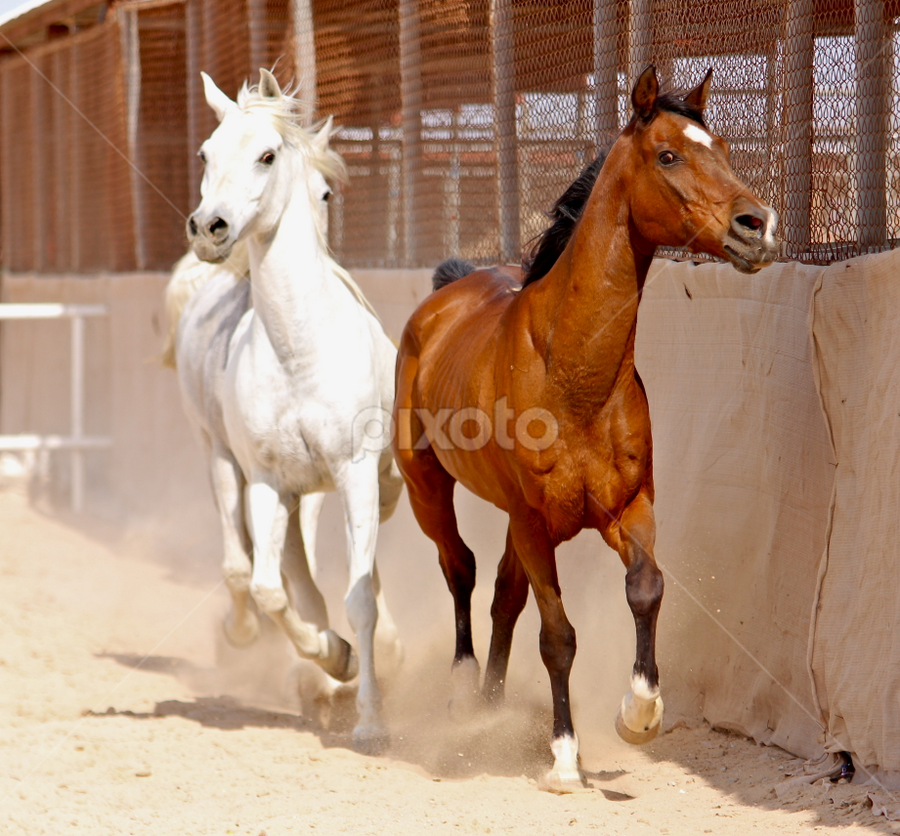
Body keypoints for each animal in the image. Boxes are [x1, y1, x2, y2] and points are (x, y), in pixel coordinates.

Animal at [183, 68, 404, 753]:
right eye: (206, 153)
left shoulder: (357, 477)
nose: (209, 228)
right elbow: (270, 591)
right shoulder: (267, 483)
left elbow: (359, 600)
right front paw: (337, 658)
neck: (300, 355)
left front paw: (370, 722)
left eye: (267, 155)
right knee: (289, 579)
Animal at [392, 66, 779, 791]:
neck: (571, 374)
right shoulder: (535, 523)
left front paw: (640, 715)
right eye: (668, 155)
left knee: (502, 597)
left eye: (722, 148)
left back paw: (491, 708)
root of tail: (442, 296)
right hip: (427, 485)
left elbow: (646, 589)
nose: (758, 226)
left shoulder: (626, 508)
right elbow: (558, 637)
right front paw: (565, 759)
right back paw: (462, 698)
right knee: (459, 569)